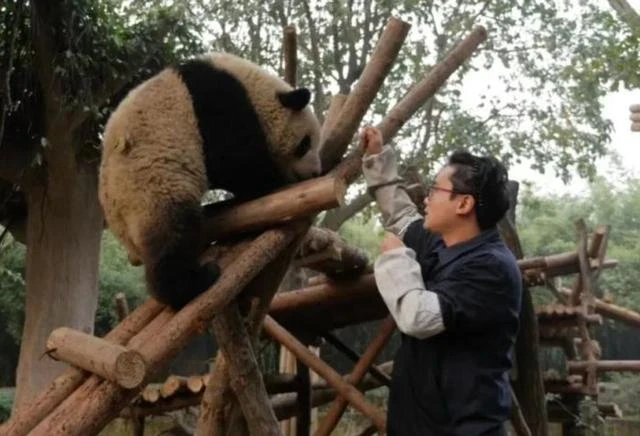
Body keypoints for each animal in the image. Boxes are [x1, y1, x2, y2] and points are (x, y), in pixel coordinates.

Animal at [99, 51, 322, 310]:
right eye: (305, 144)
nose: (315, 172)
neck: (253, 87)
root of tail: (116, 217)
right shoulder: (217, 102)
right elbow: (236, 160)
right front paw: (272, 179)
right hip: (150, 187)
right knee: (174, 237)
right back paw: (192, 284)